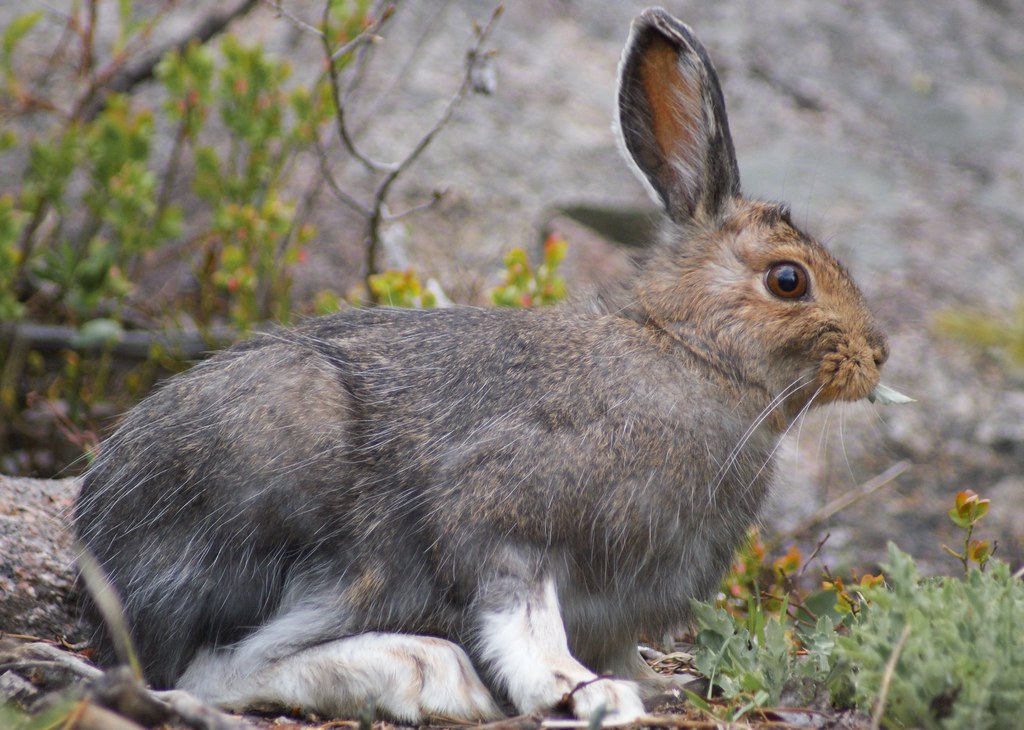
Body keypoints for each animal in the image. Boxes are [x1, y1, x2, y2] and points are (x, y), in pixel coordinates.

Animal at [74, 6, 889, 725]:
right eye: (788, 280)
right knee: (216, 670)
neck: (687, 351)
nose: (877, 355)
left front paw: (646, 685)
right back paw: (424, 673)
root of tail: (100, 551)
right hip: (291, 492)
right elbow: (525, 620)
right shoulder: (503, 512)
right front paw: (582, 691)